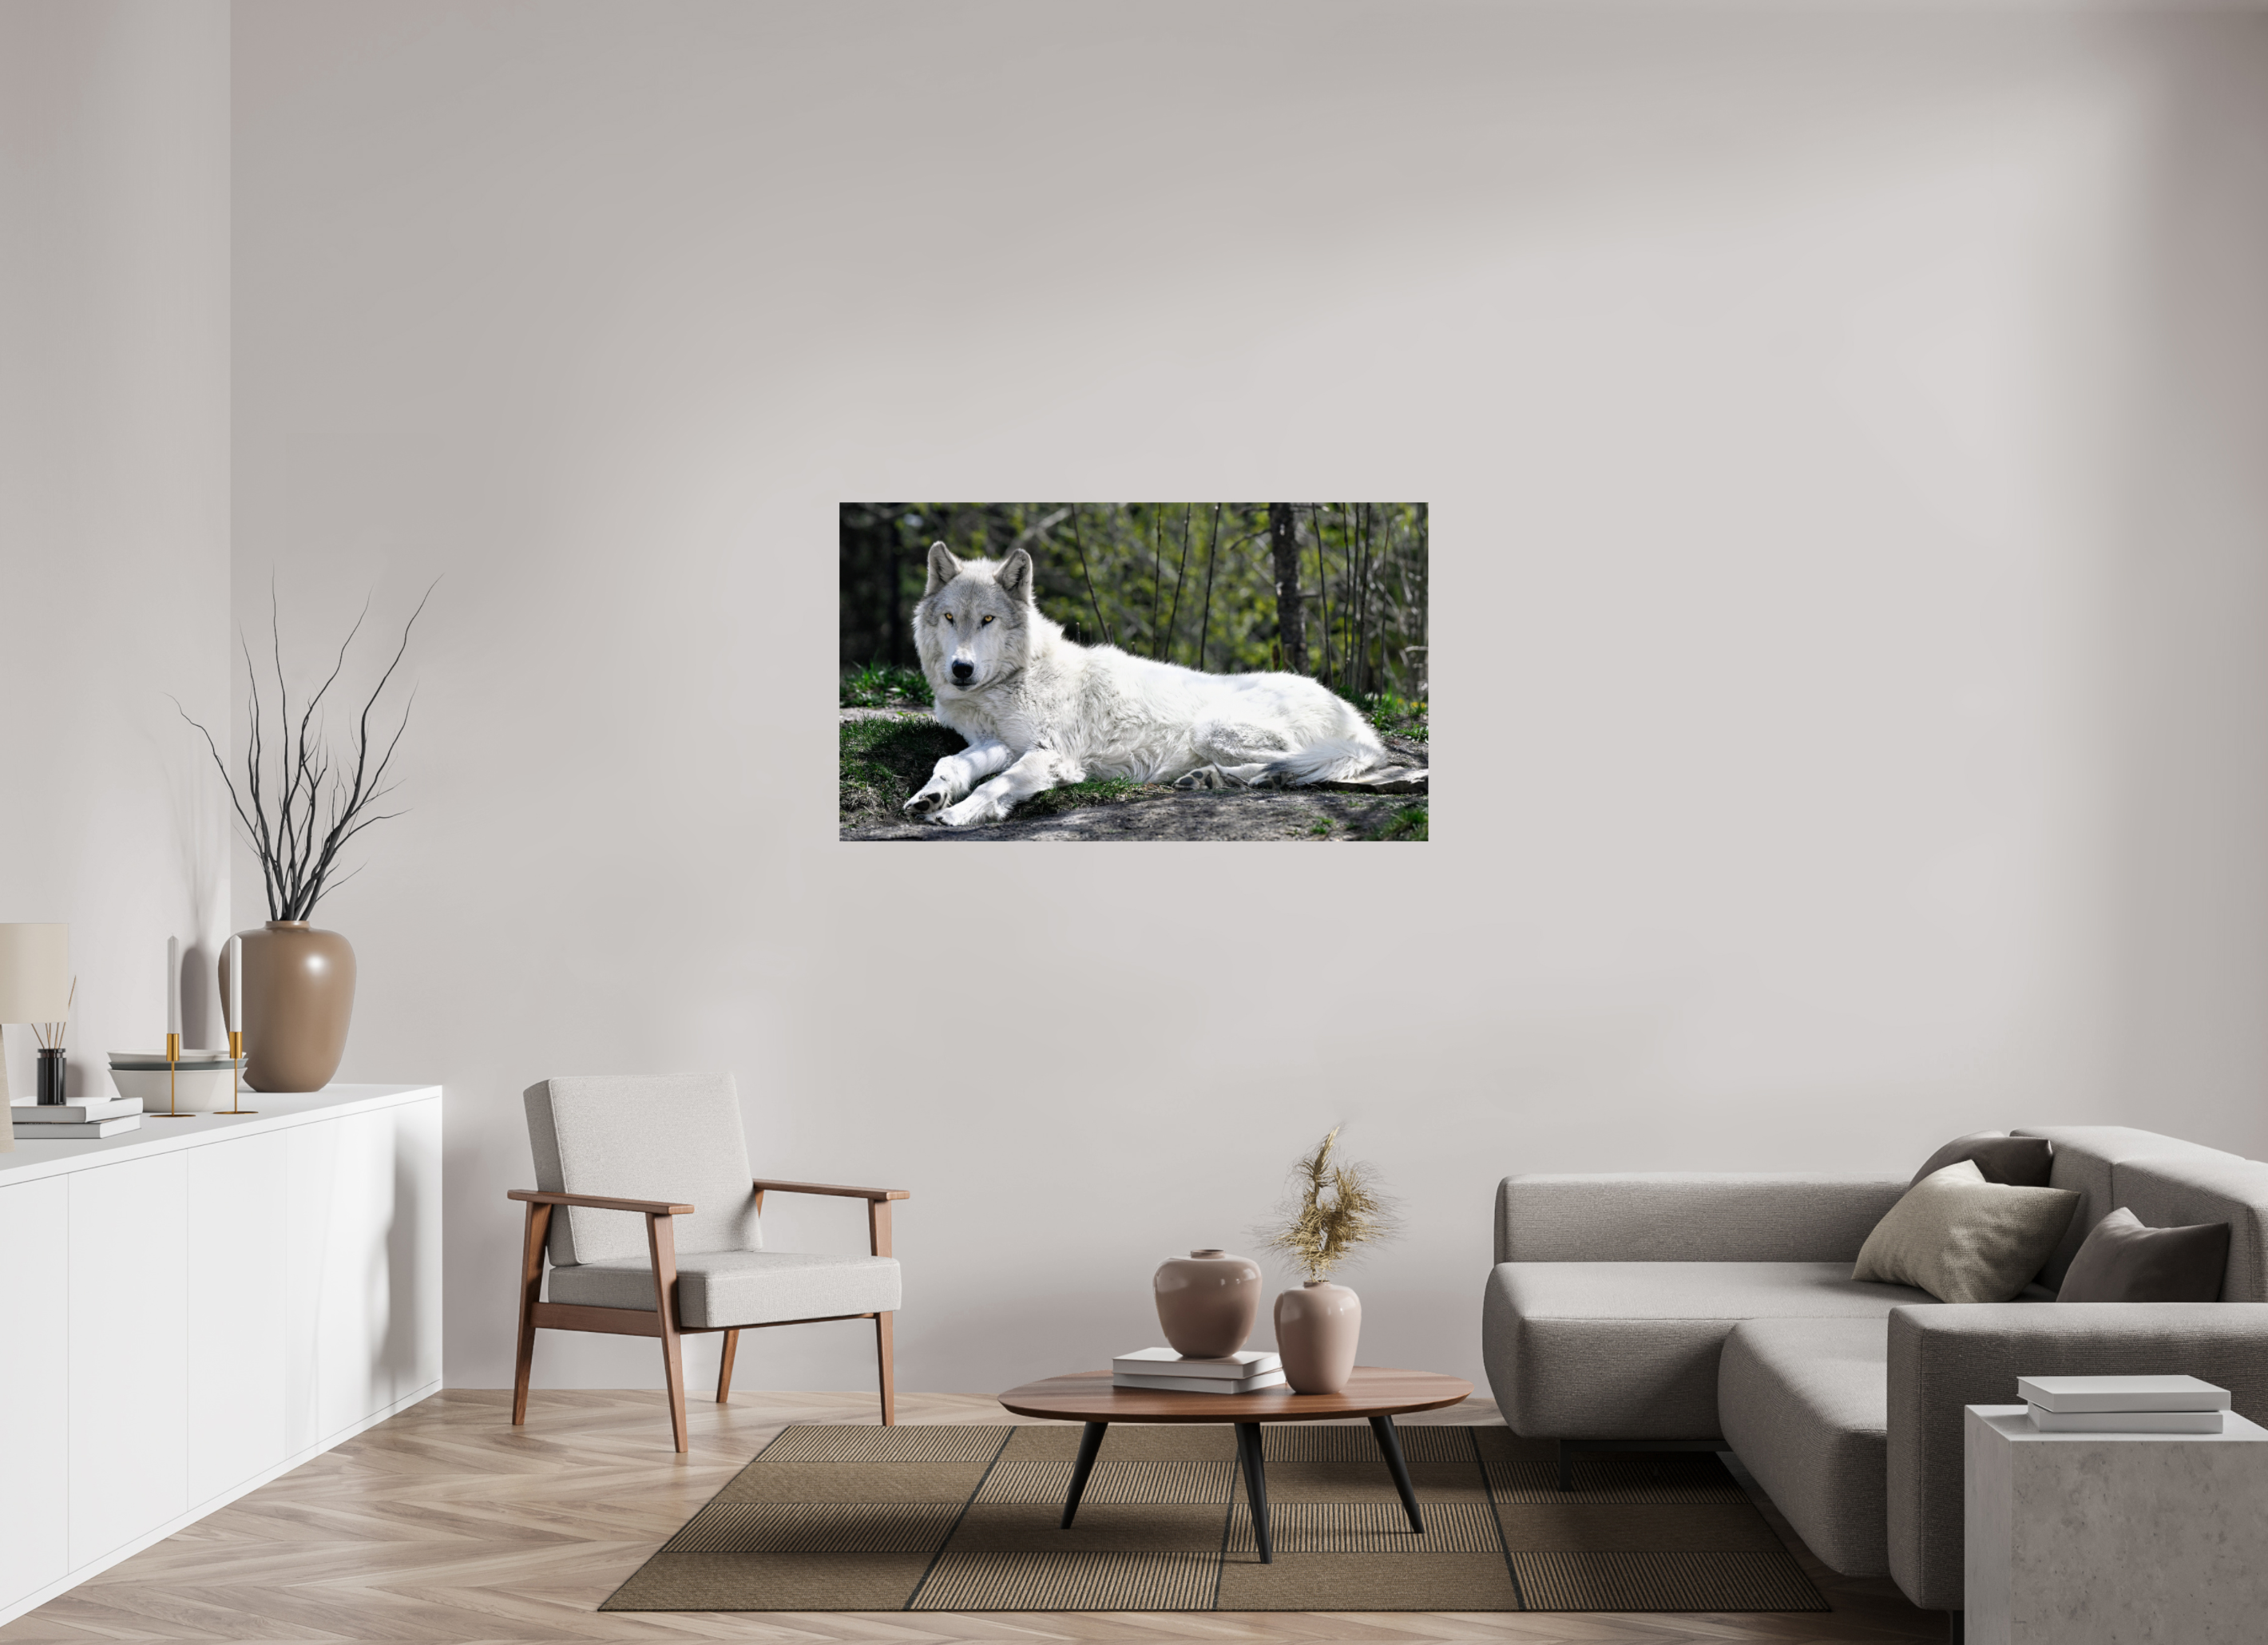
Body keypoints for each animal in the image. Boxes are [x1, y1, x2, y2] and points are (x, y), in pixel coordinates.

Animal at [902, 542, 1425, 828]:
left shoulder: (1052, 754)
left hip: (1214, 728)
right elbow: (952, 762)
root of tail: (1359, 723)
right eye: (950, 618)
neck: (1017, 678)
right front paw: (931, 795)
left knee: (1298, 762)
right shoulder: (999, 742)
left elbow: (997, 785)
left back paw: (1238, 777)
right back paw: (1214, 779)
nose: (961, 669)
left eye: (987, 620)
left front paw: (957, 814)